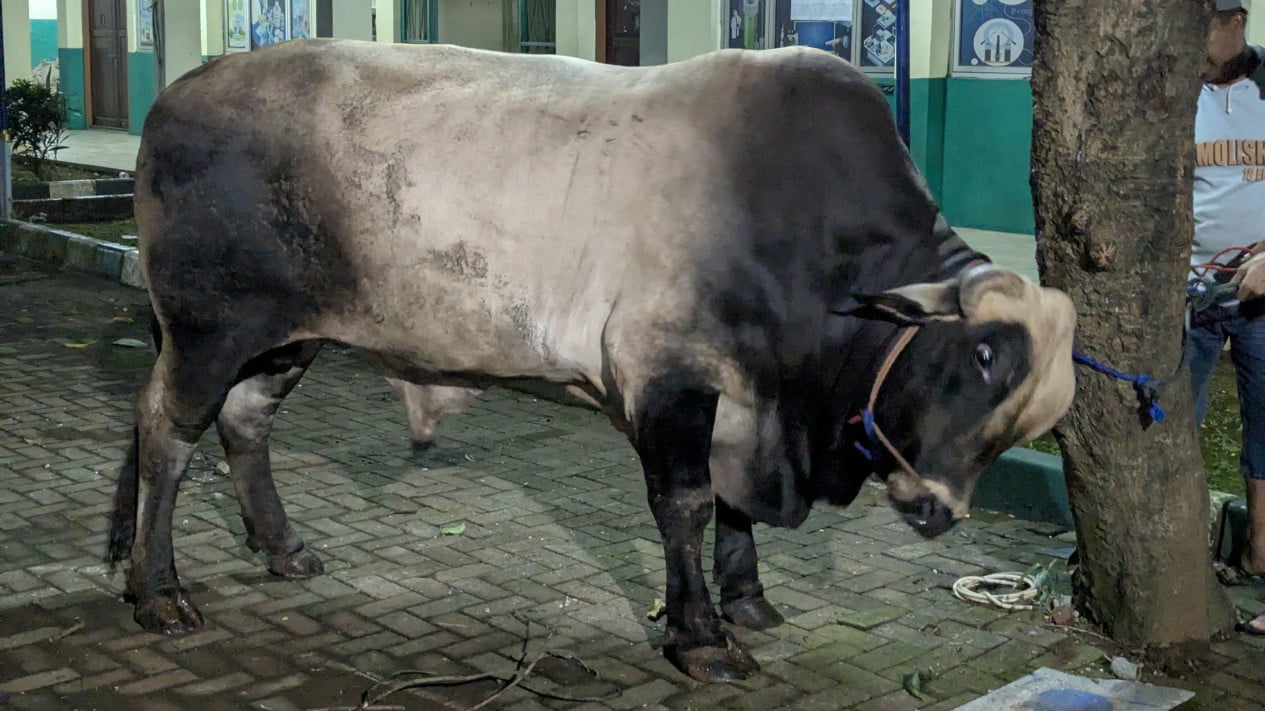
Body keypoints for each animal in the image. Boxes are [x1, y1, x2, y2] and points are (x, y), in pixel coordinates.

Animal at [105, 38, 1076, 684]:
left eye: (1035, 415)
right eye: (977, 355)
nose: (937, 508)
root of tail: (180, 89)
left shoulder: (742, 399)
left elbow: (733, 509)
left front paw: (748, 597)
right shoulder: (667, 375)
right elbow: (686, 503)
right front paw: (702, 636)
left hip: (282, 338)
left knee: (243, 423)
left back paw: (280, 547)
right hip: (207, 329)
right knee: (165, 431)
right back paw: (158, 591)